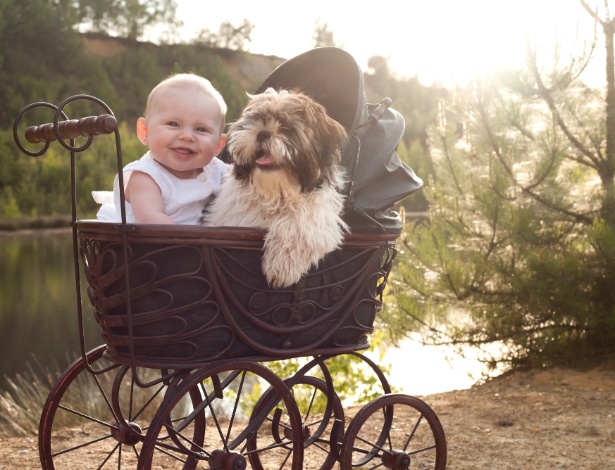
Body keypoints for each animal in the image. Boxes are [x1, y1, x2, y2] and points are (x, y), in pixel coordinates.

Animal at [201, 86, 346, 288]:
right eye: (257, 120)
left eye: (286, 127)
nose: (262, 132)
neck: (274, 195)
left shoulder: (318, 216)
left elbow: (299, 225)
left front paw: (282, 268)